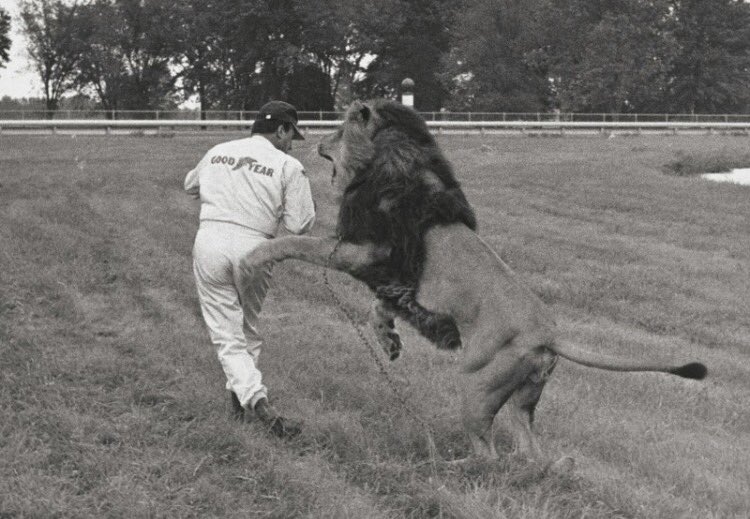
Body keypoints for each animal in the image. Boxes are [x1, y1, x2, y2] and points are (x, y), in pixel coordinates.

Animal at [242, 99, 712, 470]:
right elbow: (380, 307)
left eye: (339, 129)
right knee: (529, 455)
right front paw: (389, 342)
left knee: (489, 456)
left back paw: (444, 466)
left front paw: (251, 258)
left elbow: (296, 242)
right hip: (523, 396)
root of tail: (550, 335)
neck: (386, 163)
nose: (316, 141)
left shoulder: (363, 252)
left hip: (475, 382)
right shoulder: (394, 280)